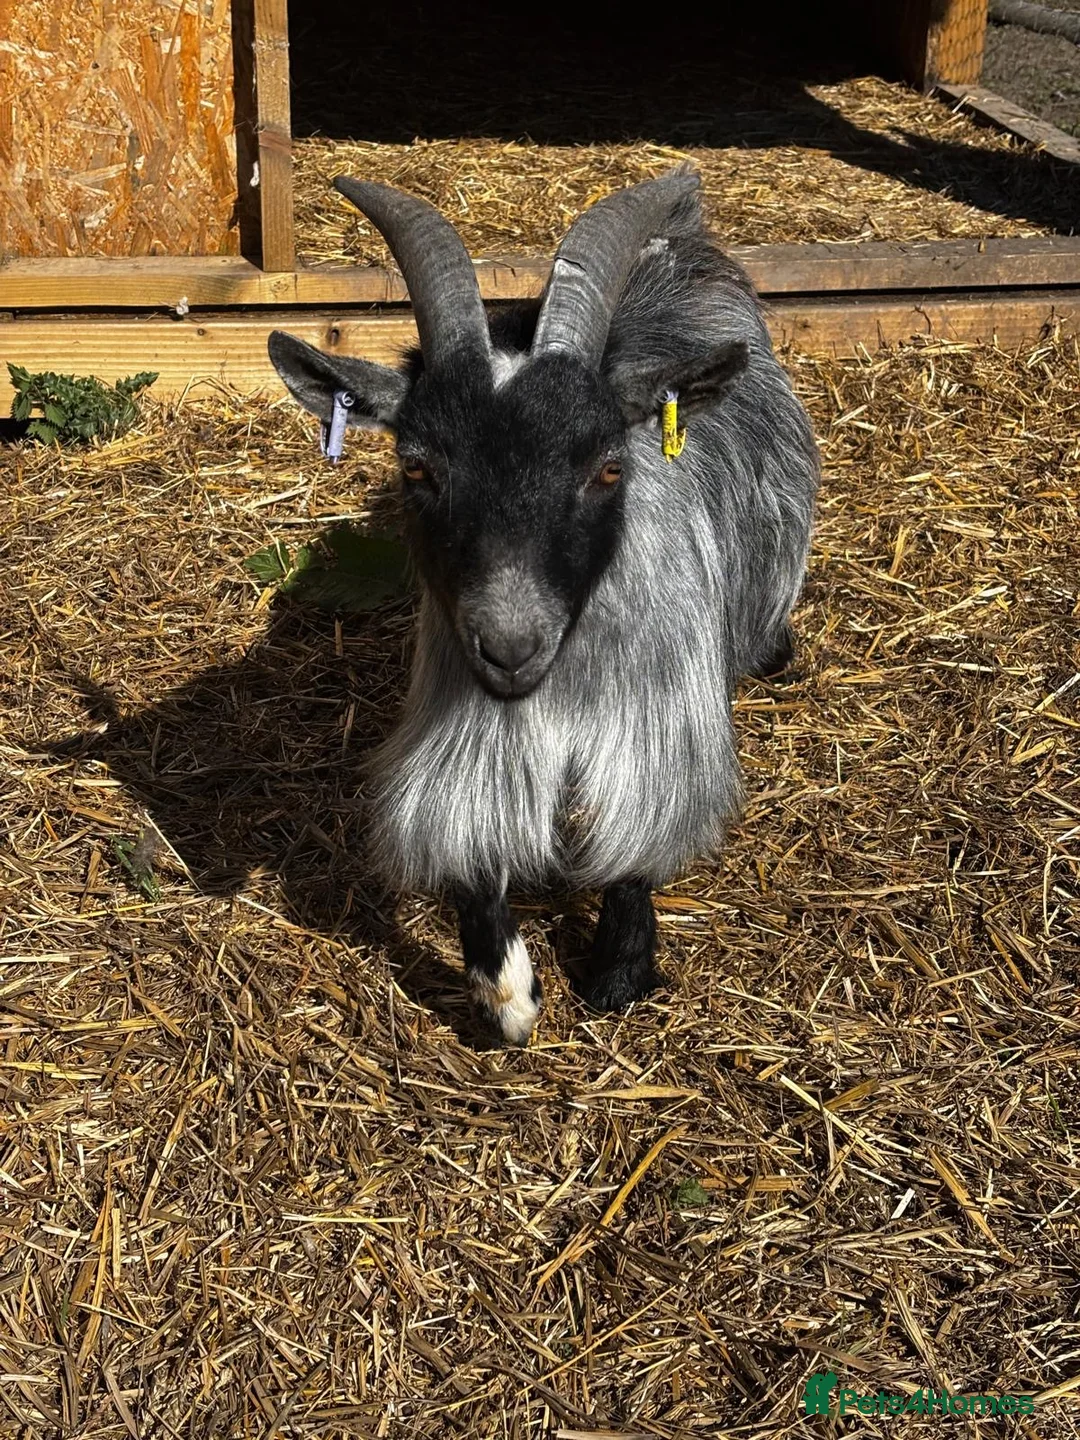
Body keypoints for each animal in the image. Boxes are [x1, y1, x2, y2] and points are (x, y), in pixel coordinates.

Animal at [268, 167, 818, 1044]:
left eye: (607, 467)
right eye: (418, 466)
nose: (509, 646)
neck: (555, 687)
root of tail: (681, 241)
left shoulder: (657, 734)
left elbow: (633, 844)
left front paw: (619, 969)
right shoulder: (461, 732)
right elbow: (470, 847)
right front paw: (507, 991)